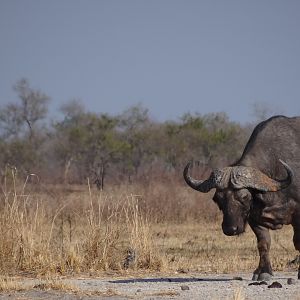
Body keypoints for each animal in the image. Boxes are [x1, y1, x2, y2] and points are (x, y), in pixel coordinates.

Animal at [183, 115, 300, 282]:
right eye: (217, 199)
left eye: (244, 196)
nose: (230, 229)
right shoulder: (254, 217)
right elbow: (263, 243)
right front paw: (263, 271)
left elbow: (298, 242)